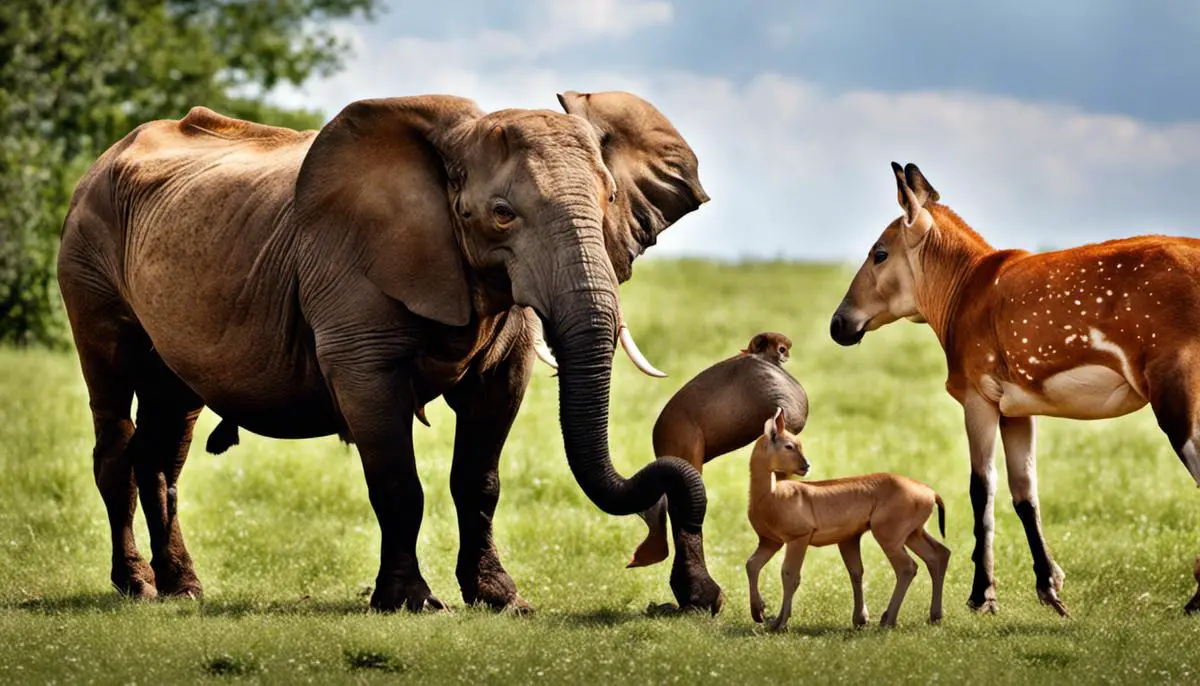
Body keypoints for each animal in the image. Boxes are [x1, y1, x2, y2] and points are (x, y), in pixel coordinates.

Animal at [58, 89, 720, 611]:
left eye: (610, 201)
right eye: (501, 215)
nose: (700, 597)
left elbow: (482, 460)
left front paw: (501, 600)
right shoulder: (349, 278)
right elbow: (390, 457)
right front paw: (413, 603)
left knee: (167, 441)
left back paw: (184, 588)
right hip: (86, 264)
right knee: (115, 425)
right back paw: (137, 586)